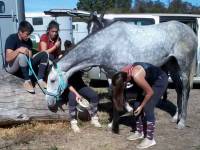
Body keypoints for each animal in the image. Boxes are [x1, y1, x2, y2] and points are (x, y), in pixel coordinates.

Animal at [46, 20, 198, 129]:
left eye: (52, 80)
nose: (49, 103)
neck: (106, 45)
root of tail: (190, 31)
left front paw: (126, 111)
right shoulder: (110, 75)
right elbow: (114, 94)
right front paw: (114, 121)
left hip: (184, 67)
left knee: (185, 90)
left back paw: (181, 122)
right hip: (172, 65)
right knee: (179, 89)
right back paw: (175, 117)